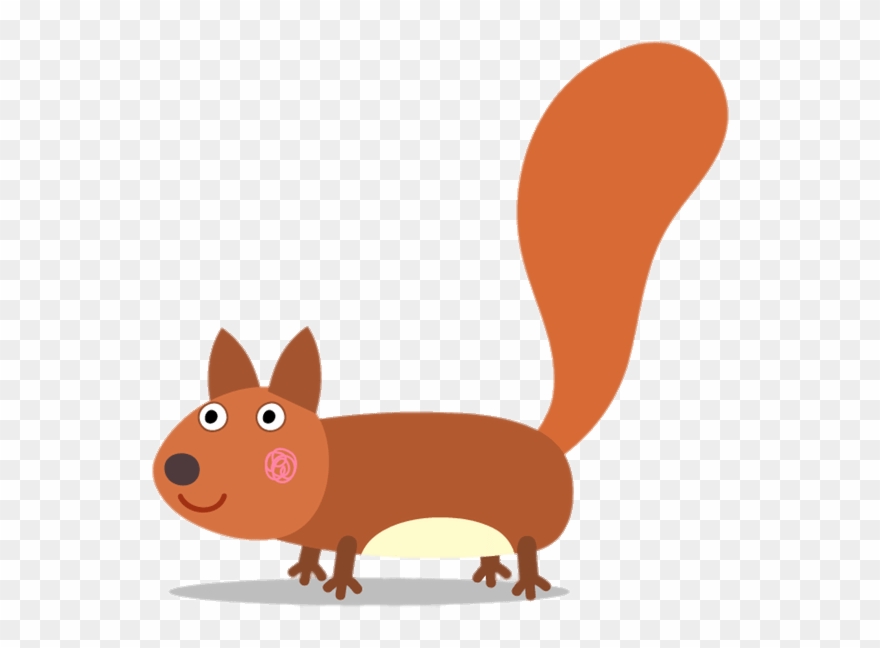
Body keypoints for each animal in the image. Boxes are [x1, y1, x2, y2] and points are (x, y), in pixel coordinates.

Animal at [152, 42, 728, 601]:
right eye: (210, 415)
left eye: (268, 418)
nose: (180, 466)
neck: (326, 457)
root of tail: (547, 441)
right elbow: (312, 547)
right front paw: (304, 572)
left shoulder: (352, 523)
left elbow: (344, 550)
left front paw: (338, 585)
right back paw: (489, 572)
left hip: (524, 520)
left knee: (527, 545)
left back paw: (524, 584)